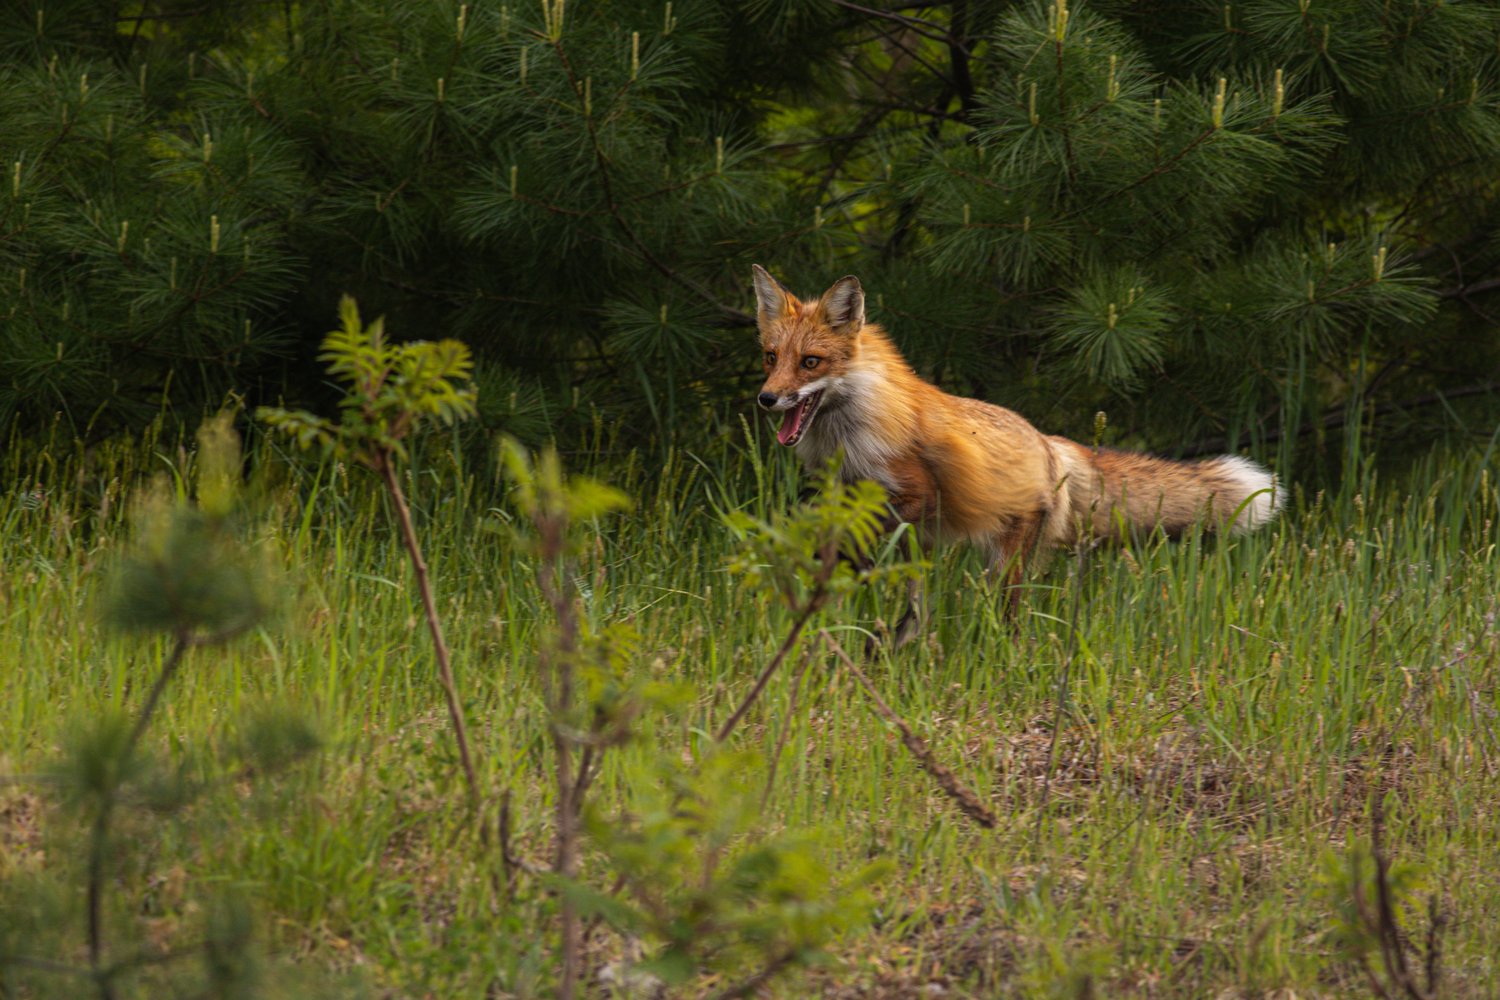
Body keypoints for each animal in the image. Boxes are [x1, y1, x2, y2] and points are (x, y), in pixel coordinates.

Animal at [751, 264, 1282, 636]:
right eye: (771, 358)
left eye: (811, 362)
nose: (766, 399)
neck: (849, 431)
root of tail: (1050, 443)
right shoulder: (855, 496)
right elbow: (841, 541)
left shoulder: (918, 494)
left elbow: (856, 532)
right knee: (919, 610)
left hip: (1006, 565)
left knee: (1007, 619)